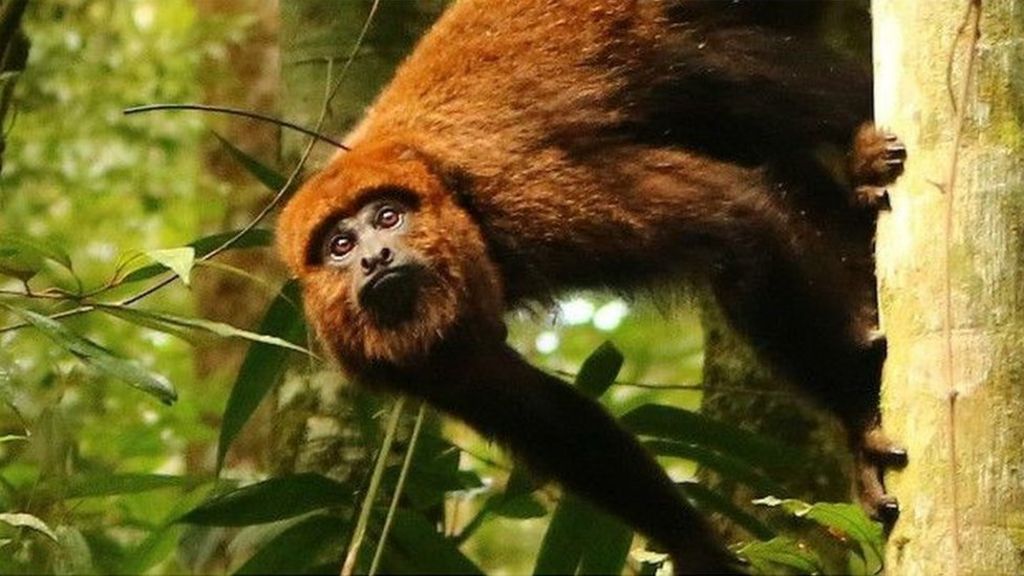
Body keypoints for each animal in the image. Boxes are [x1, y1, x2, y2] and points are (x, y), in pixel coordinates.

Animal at [276, 1, 907, 573]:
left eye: (387, 217)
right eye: (339, 246)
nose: (374, 259)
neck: (445, 193)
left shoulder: (524, 196)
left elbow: (736, 219)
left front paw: (858, 419)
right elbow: (543, 415)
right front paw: (694, 547)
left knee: (715, 72)